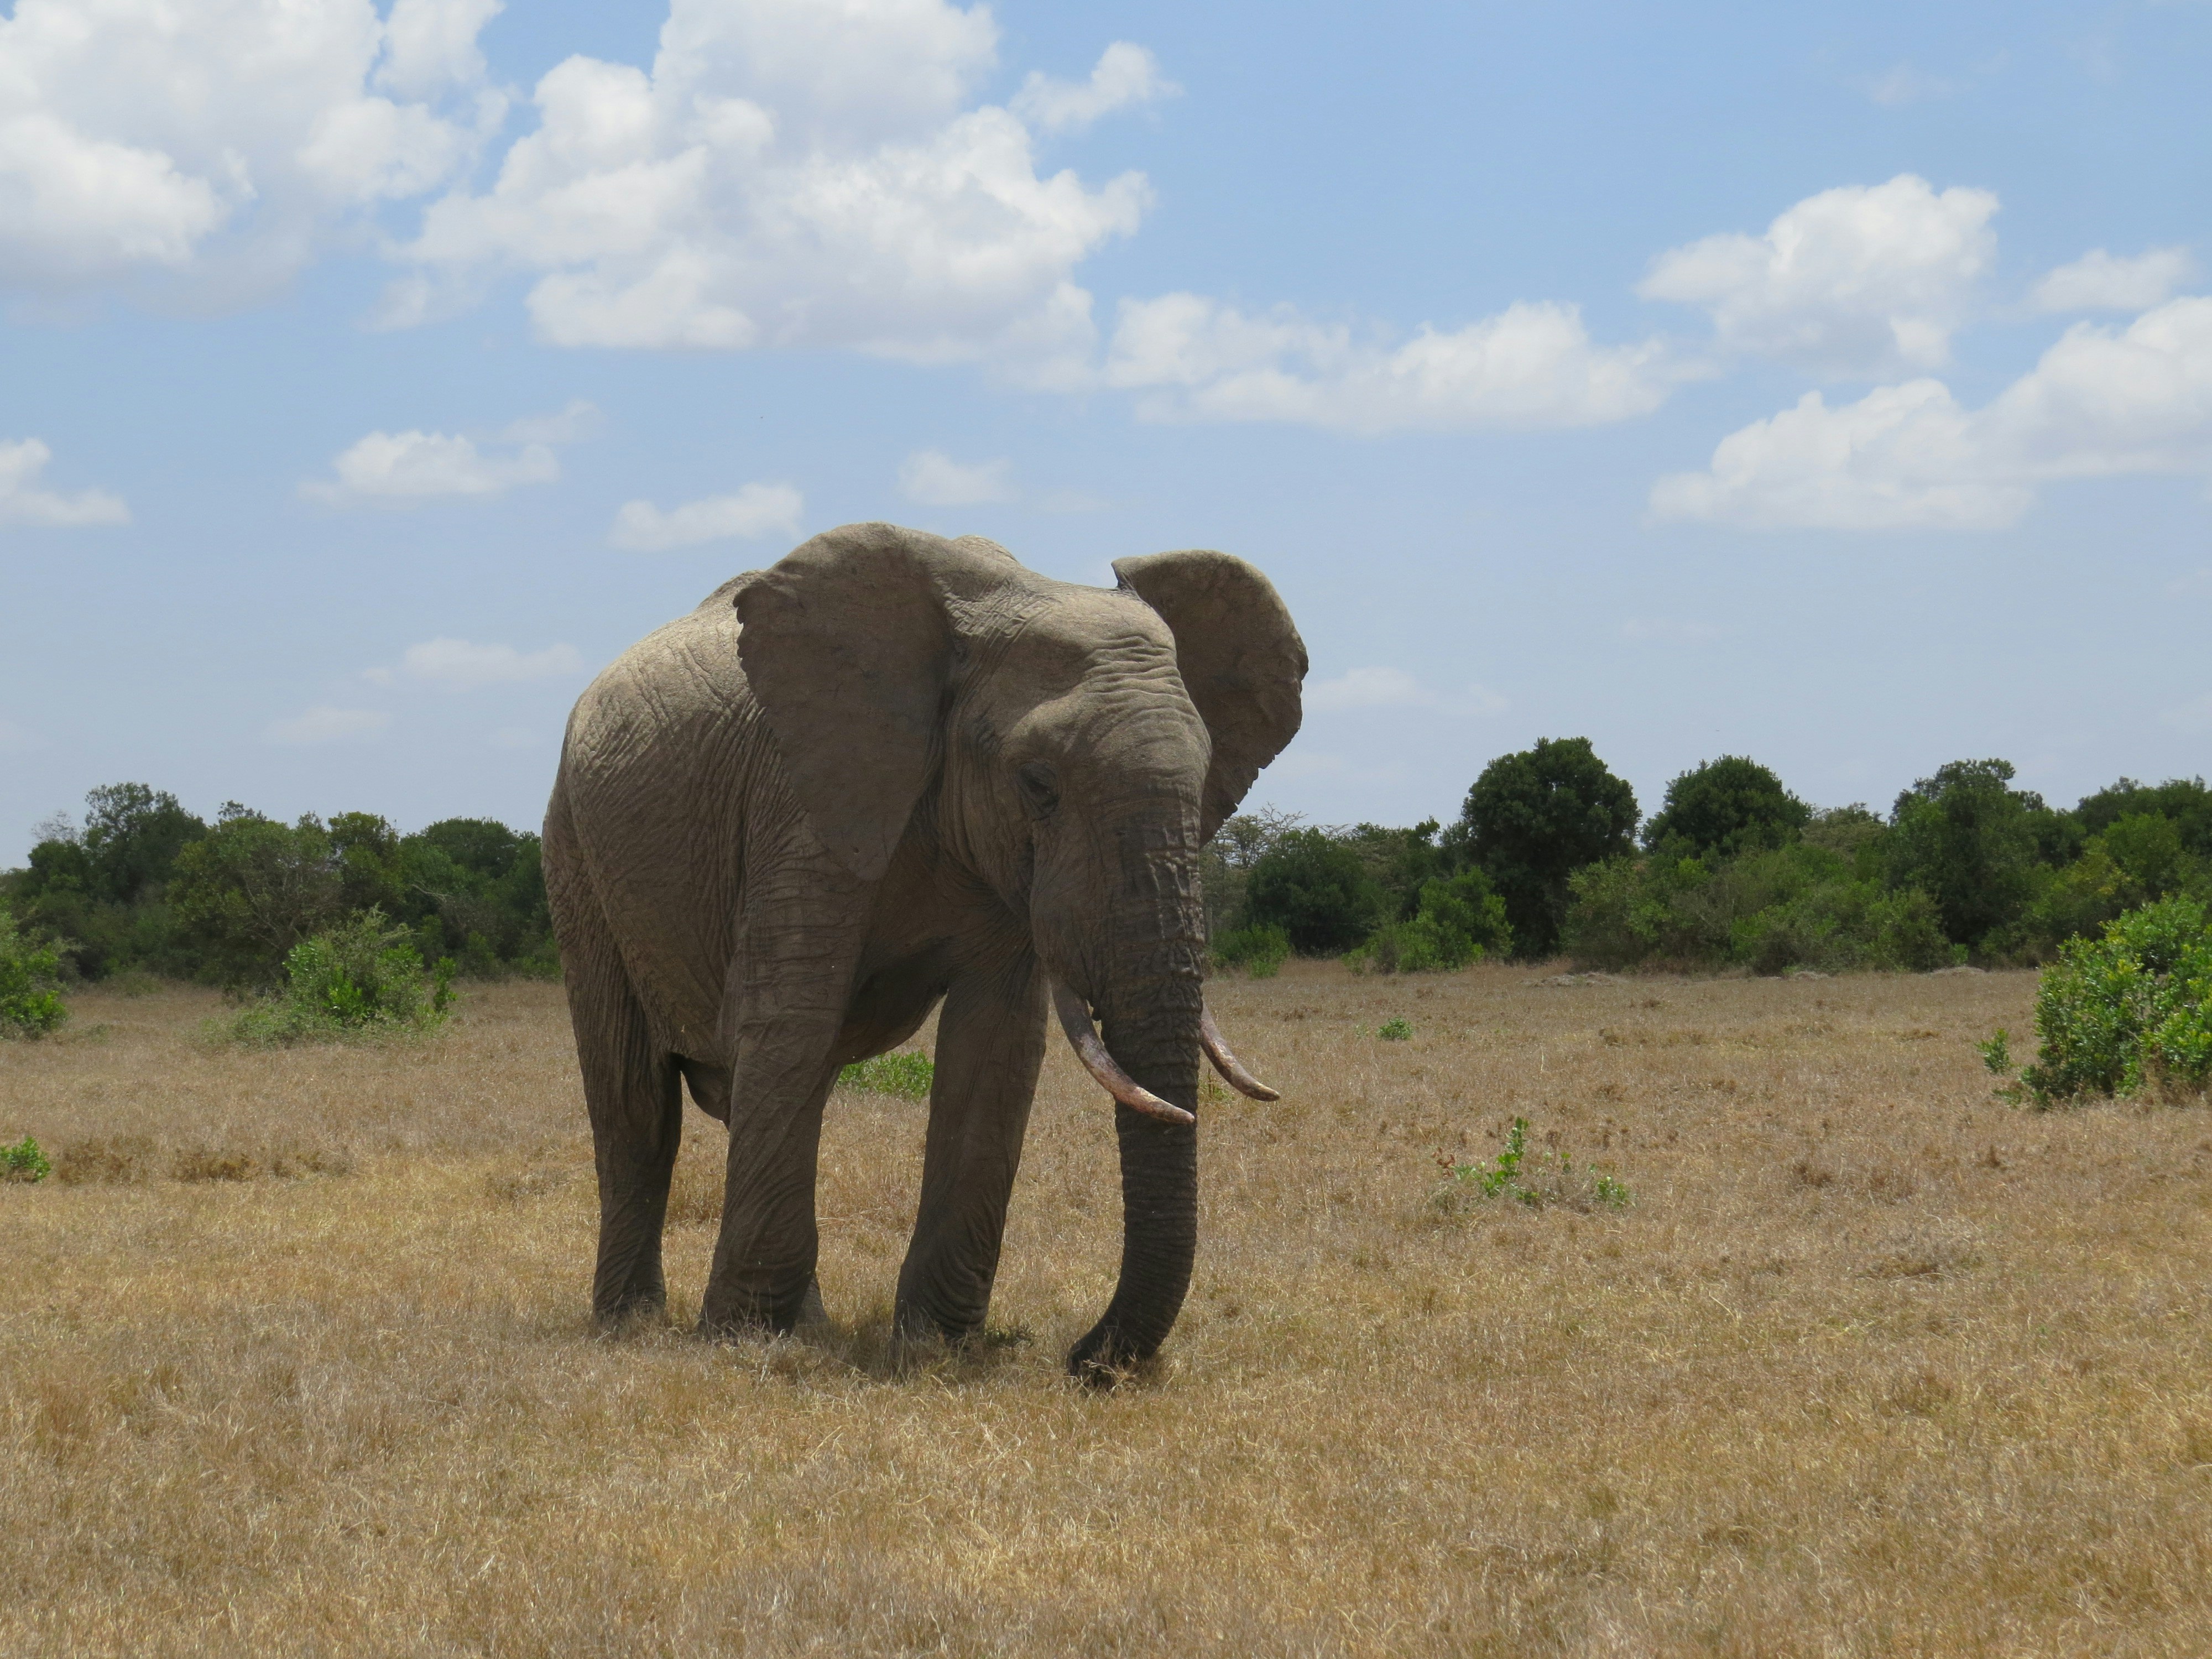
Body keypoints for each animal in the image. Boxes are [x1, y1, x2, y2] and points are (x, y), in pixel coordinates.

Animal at [541, 521, 1306, 1378]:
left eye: (1206, 778)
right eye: (1038, 783)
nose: (1083, 1361)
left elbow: (993, 1049)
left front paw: (934, 1343)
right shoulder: (802, 803)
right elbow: (790, 1023)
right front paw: (740, 1338)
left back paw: (803, 1320)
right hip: (575, 848)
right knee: (638, 1100)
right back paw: (632, 1324)